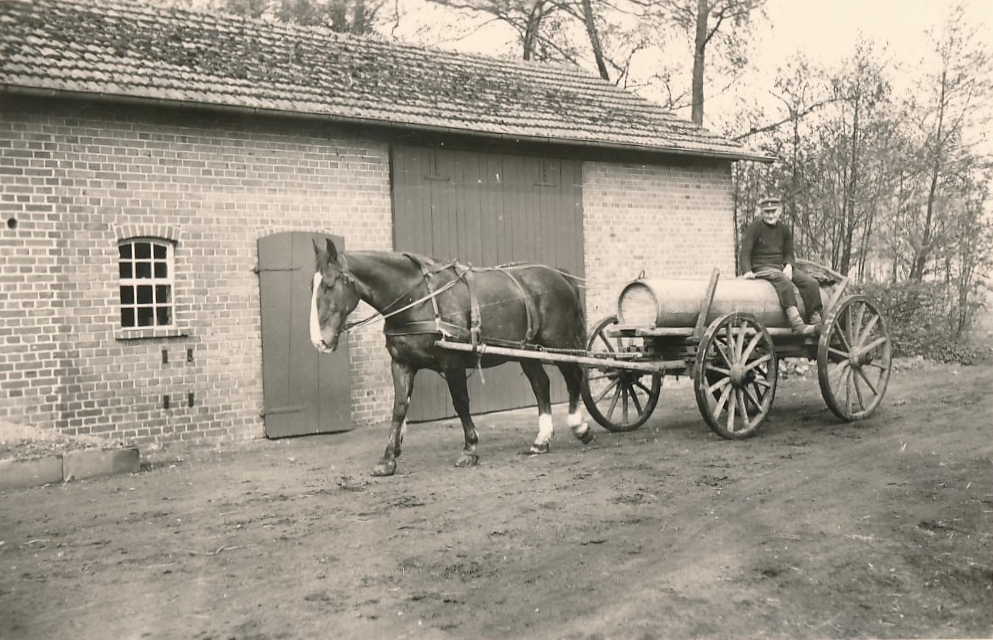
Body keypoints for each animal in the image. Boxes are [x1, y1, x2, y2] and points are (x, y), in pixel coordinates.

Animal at [309, 238, 595, 476]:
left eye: (329, 285)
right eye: (312, 286)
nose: (319, 341)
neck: (419, 299)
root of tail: (558, 274)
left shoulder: (452, 363)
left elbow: (461, 403)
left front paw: (470, 449)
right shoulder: (402, 364)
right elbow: (399, 409)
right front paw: (388, 459)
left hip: (559, 343)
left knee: (574, 377)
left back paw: (579, 426)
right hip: (527, 349)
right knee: (541, 385)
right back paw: (542, 439)